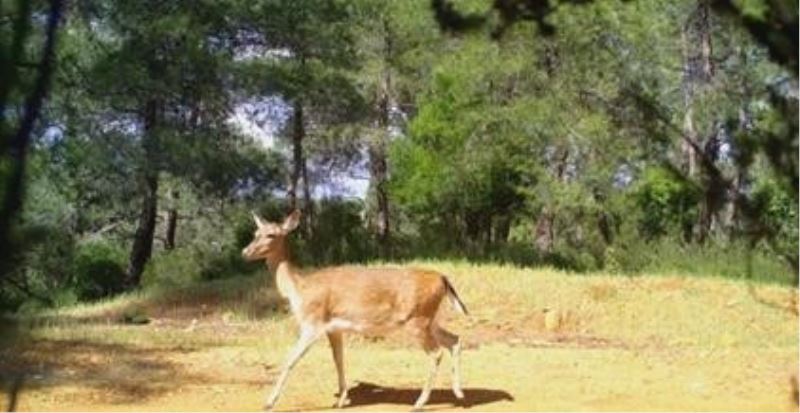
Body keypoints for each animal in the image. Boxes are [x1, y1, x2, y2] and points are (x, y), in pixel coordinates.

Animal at [244, 211, 468, 410]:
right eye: (255, 233)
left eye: (271, 235)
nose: (245, 252)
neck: (299, 288)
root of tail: (443, 279)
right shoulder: (334, 328)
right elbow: (339, 359)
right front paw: (341, 400)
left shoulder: (312, 323)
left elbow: (290, 359)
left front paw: (268, 402)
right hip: (432, 319)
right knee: (454, 340)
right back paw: (459, 393)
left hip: (418, 320)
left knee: (437, 353)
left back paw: (420, 403)